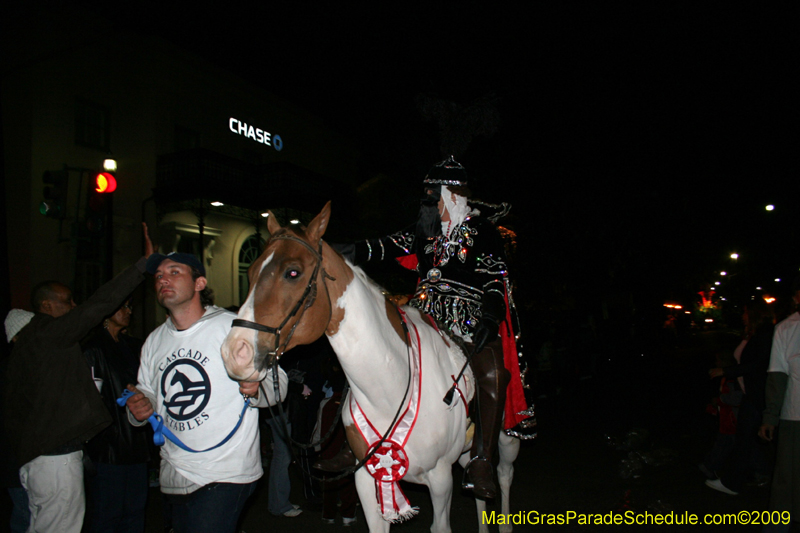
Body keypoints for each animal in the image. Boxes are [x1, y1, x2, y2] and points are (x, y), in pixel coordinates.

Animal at [220, 202, 520, 528]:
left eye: (293, 272)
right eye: (250, 271)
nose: (234, 352)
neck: (392, 387)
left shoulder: (441, 479)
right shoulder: (368, 477)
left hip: (506, 438)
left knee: (501, 476)